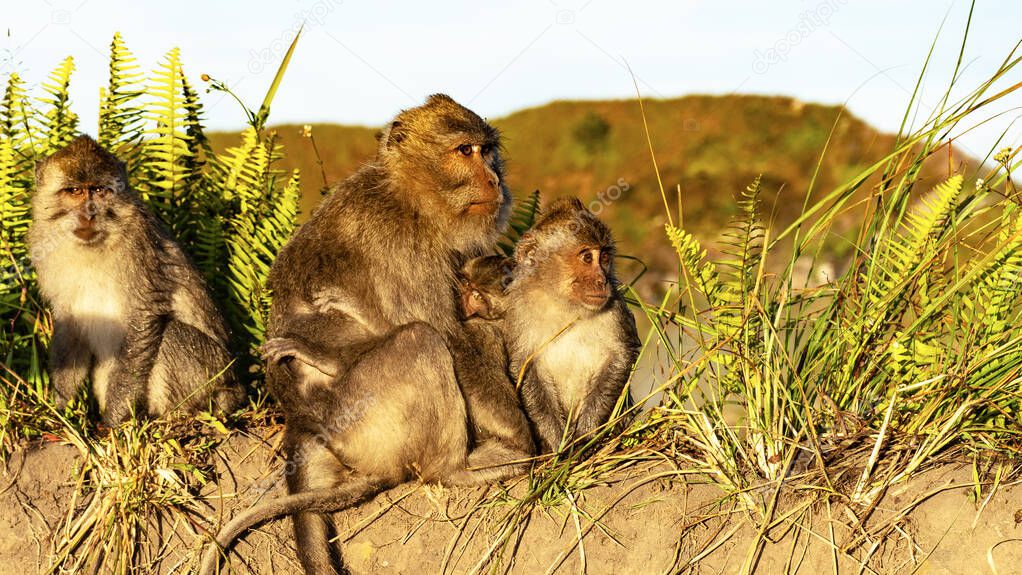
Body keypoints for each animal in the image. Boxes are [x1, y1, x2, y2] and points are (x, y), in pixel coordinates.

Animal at [27, 133, 243, 422]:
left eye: (99, 191)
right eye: (75, 191)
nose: (89, 213)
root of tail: (237, 389)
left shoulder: (138, 243)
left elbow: (143, 316)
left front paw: (112, 421)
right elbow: (69, 323)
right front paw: (60, 409)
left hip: (213, 377)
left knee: (171, 335)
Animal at [198, 94, 523, 575]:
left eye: (488, 151)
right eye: (465, 151)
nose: (494, 178)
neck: (410, 195)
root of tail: (303, 421)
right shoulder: (402, 245)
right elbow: (448, 335)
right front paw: (528, 439)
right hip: (364, 418)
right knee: (420, 341)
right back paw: (455, 470)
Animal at [506, 198, 641, 455]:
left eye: (604, 257)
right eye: (587, 257)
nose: (602, 280)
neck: (564, 304)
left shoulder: (614, 306)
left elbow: (620, 356)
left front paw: (585, 434)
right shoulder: (519, 308)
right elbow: (524, 366)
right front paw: (556, 442)